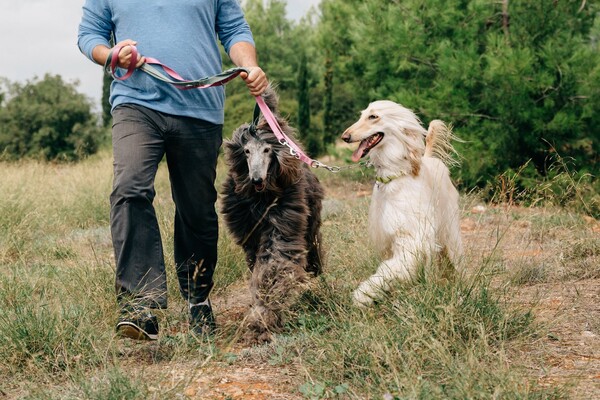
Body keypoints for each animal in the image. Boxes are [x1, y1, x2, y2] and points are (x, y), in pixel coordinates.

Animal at [342, 101, 464, 306]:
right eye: (361, 115)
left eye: (373, 116)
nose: (345, 137)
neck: (394, 177)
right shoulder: (387, 236)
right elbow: (393, 267)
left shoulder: (413, 235)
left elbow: (395, 266)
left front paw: (363, 294)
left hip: (448, 226)